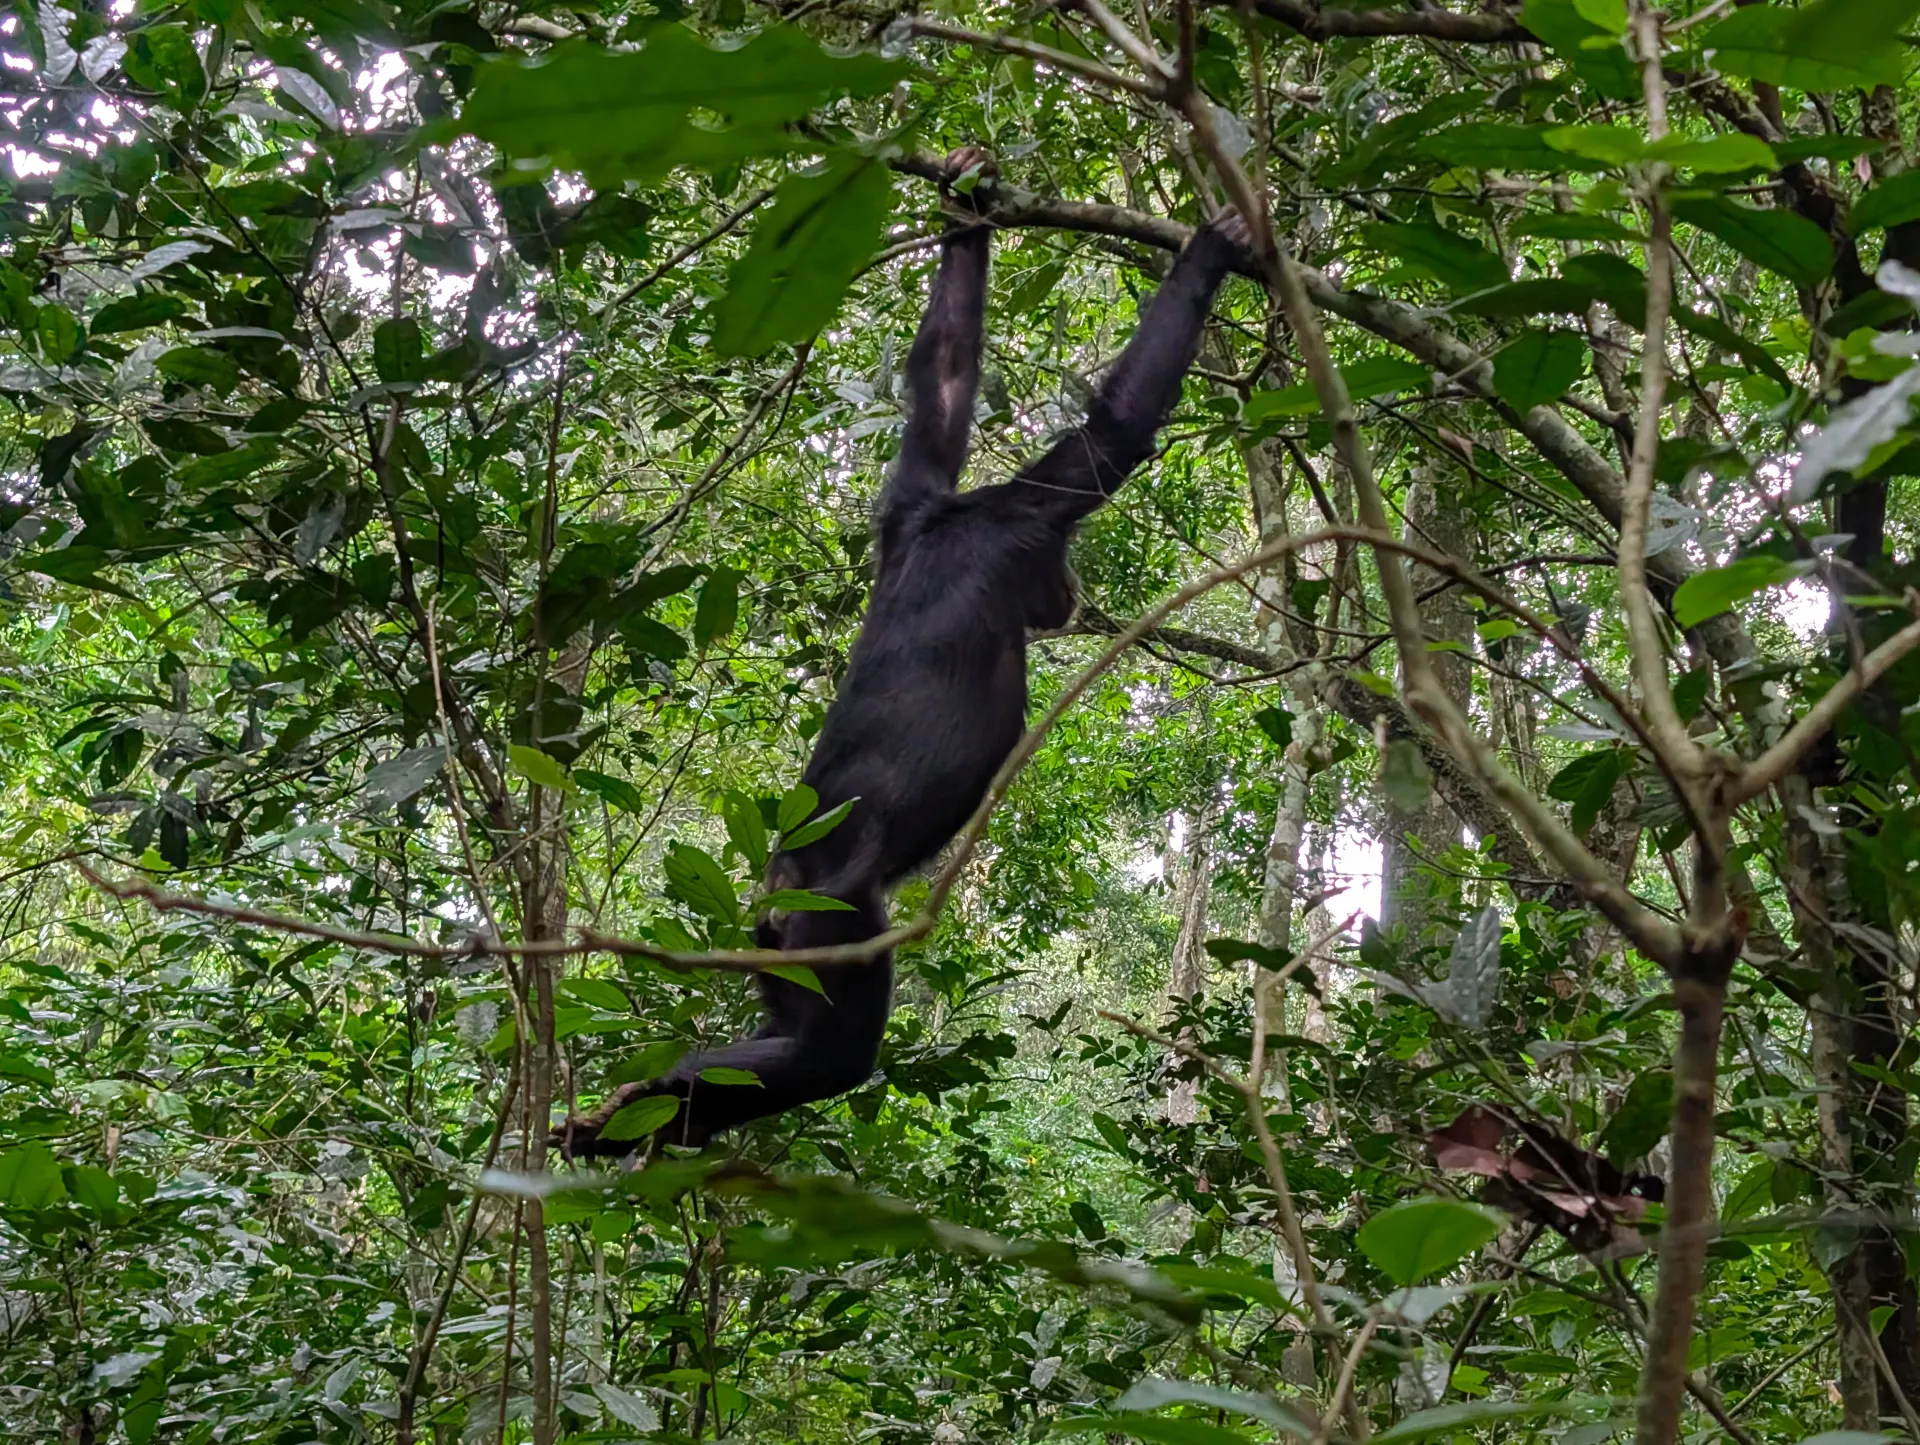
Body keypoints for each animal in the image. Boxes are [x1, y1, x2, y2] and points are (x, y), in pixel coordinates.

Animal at [555, 148, 1251, 1155]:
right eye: (1057, 568)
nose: (1069, 596)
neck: (958, 523)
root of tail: (776, 879)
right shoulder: (1033, 509)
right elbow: (1116, 428)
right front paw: (1205, 256)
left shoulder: (912, 499)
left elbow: (947, 376)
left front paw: (964, 203)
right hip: (832, 928)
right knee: (831, 1055)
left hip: (776, 946)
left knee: (783, 1042)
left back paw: (622, 1117)